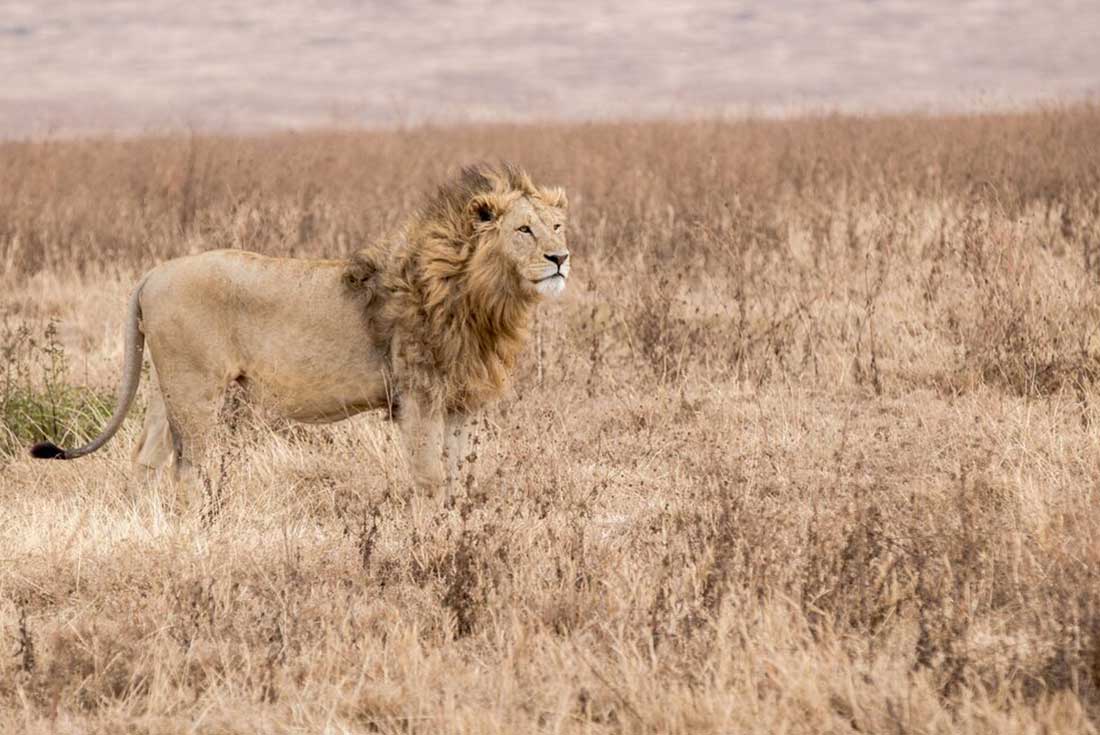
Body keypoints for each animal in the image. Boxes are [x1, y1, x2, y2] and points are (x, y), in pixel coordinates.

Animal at [31, 163, 570, 501]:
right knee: (187, 468)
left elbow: (458, 477)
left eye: (558, 226)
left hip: (170, 386)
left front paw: (457, 527)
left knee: (146, 458)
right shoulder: (416, 396)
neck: (481, 294)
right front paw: (430, 542)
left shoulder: (460, 402)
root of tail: (152, 273)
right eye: (523, 230)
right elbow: (430, 478)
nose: (560, 258)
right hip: (195, 387)